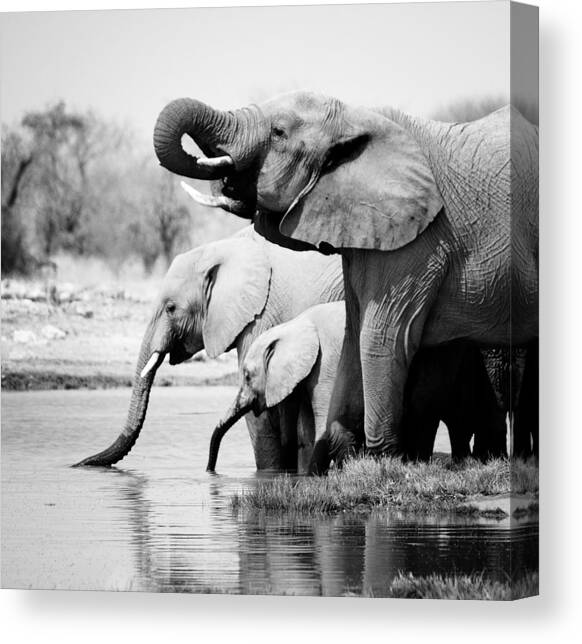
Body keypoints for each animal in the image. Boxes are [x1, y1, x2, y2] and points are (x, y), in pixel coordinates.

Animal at [74, 225, 344, 470]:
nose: (79, 463)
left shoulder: (262, 315)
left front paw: (271, 475)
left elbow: (264, 411)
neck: (220, 250)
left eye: (171, 308)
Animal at [152, 90, 538, 459]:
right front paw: (339, 454)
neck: (356, 118)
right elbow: (354, 335)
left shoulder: (421, 241)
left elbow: (380, 338)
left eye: (278, 133)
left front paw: (382, 461)